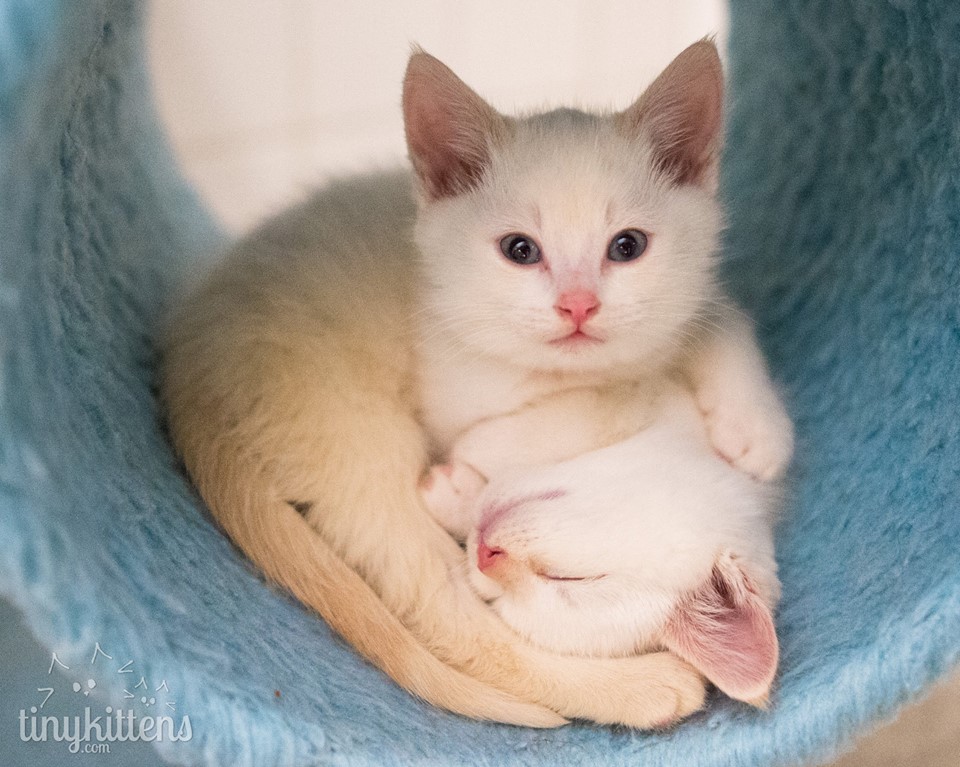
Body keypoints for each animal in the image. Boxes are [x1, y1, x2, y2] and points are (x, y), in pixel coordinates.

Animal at [159, 37, 788, 732]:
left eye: (627, 246)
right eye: (520, 250)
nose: (578, 305)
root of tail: (191, 345)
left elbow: (715, 318)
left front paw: (756, 429)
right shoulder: (454, 384)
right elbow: (595, 400)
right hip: (346, 435)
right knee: (449, 616)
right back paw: (645, 688)